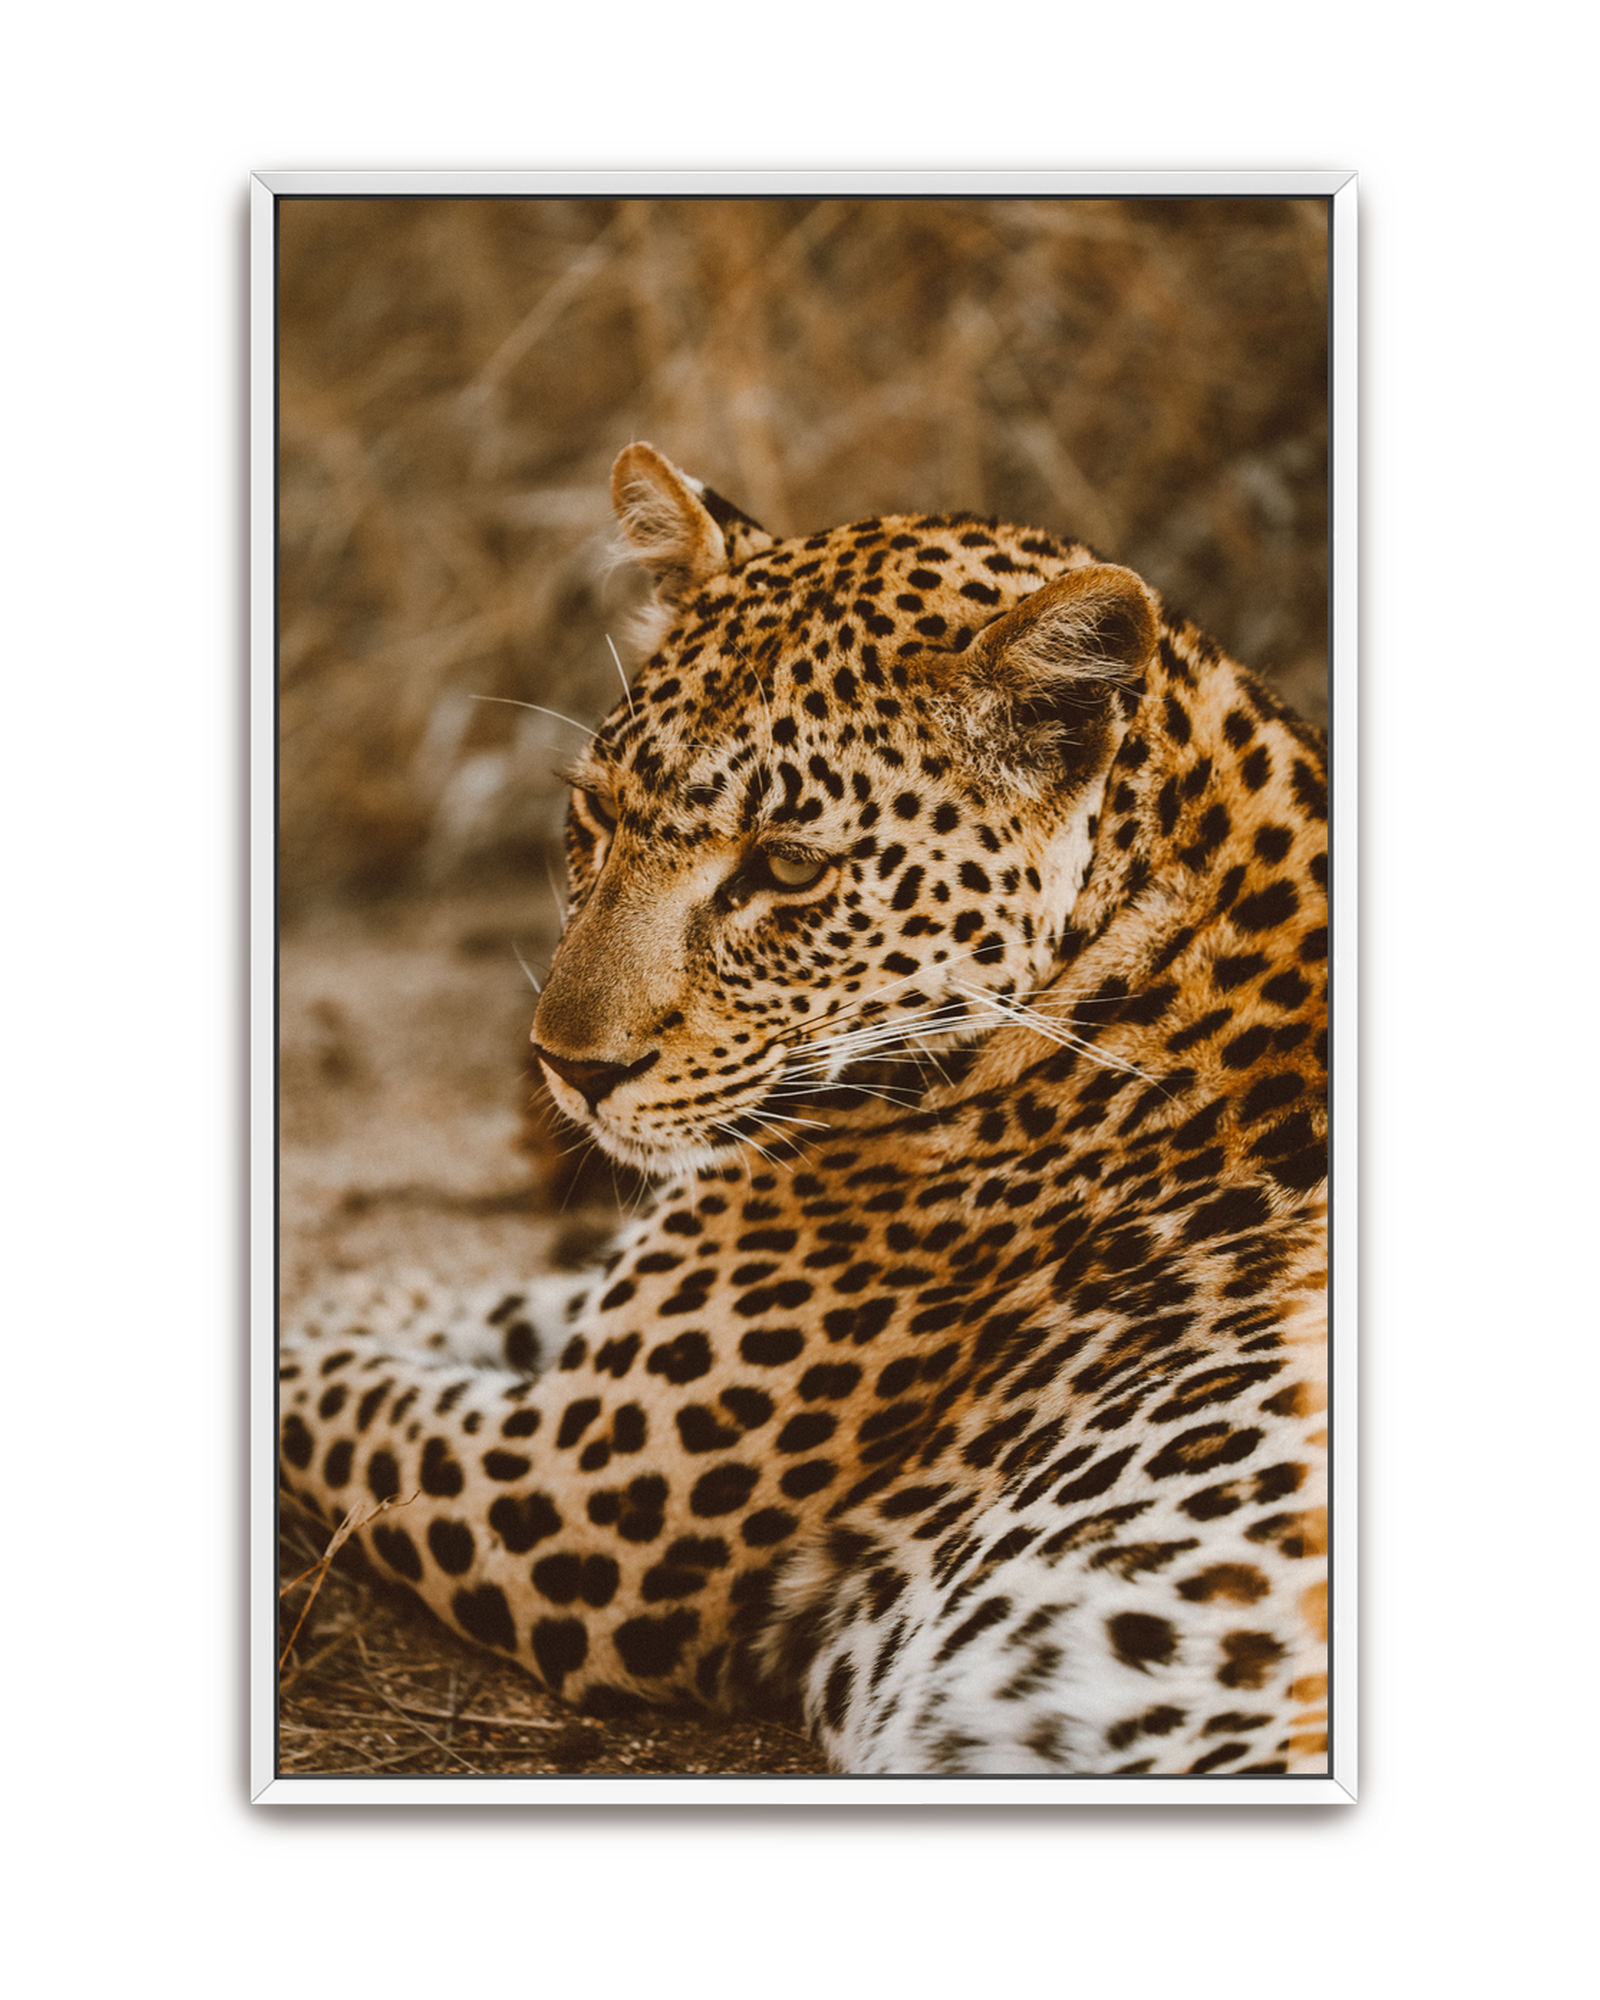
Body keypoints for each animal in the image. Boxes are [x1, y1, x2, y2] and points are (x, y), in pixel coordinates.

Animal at [280, 442, 1328, 1776]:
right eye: (599, 815)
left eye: (783, 867)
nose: (567, 1066)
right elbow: (507, 1302)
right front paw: (383, 1295)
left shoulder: (565, 1493)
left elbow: (333, 1397)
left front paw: (333, 1317)